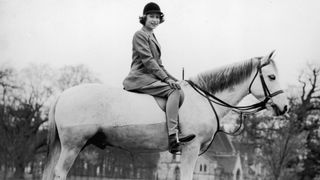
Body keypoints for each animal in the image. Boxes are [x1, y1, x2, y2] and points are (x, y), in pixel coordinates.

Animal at [41, 51, 288, 180]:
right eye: (272, 77)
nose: (284, 107)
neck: (204, 99)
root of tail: (63, 94)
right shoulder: (190, 148)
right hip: (72, 146)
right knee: (60, 174)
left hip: (67, 146)